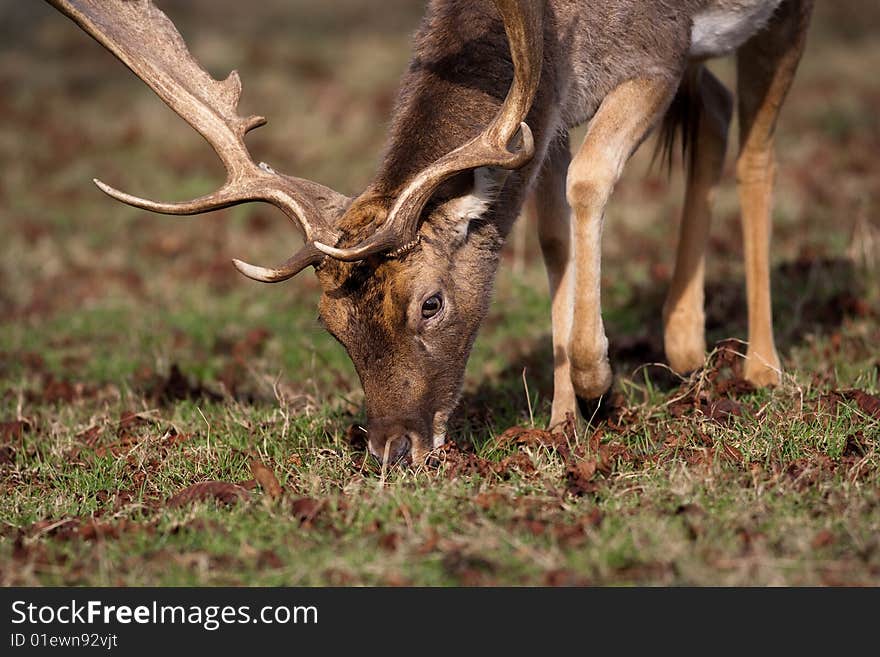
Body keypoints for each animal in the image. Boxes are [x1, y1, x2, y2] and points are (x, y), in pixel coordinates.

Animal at [48, 1, 816, 466]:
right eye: (330, 325)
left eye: (431, 304)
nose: (391, 448)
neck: (565, 35)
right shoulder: (543, 115)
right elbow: (552, 235)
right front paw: (563, 422)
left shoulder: (657, 54)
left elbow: (589, 182)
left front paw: (599, 379)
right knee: (715, 111)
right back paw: (685, 343)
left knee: (758, 151)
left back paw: (761, 367)